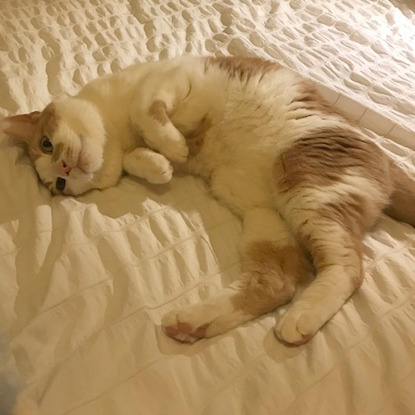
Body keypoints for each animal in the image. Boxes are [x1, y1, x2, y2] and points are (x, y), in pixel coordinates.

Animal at [0, 57, 415, 346]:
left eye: (47, 144)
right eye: (57, 184)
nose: (64, 169)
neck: (118, 133)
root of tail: (389, 162)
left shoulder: (168, 79)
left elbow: (146, 110)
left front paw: (170, 148)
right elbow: (139, 157)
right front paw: (160, 165)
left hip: (304, 182)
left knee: (349, 269)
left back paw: (301, 318)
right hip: (268, 220)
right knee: (278, 284)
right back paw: (192, 322)